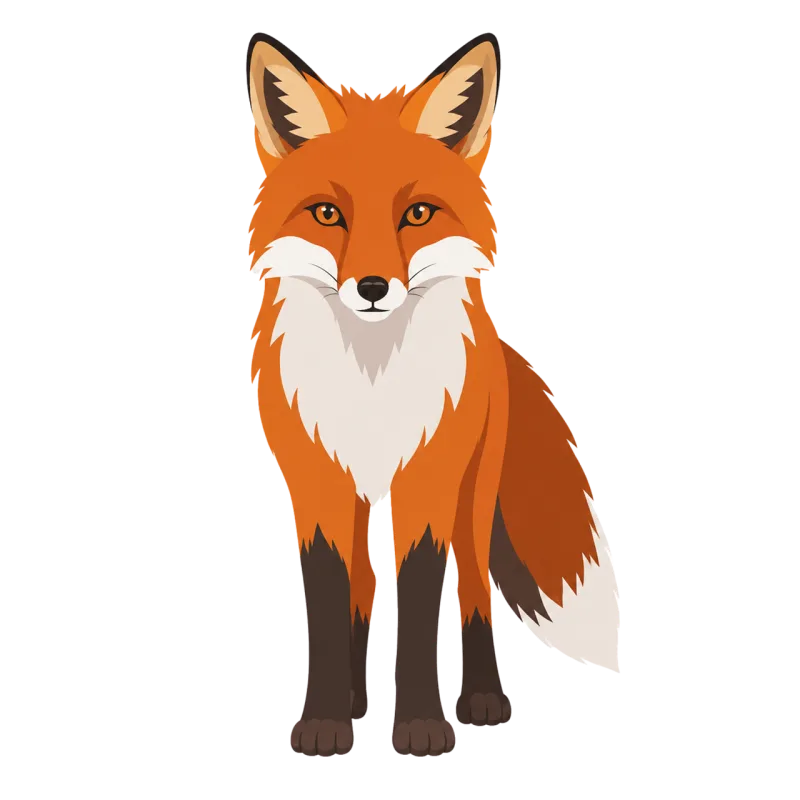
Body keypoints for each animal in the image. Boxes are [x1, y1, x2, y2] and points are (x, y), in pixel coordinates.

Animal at [247, 34, 620, 758]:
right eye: (328, 214)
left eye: (416, 214)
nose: (371, 287)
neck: (370, 387)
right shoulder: (316, 482)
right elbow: (334, 598)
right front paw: (327, 722)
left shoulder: (429, 480)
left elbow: (420, 600)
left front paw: (423, 725)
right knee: (361, 592)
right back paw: (358, 702)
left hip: (473, 499)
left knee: (474, 593)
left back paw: (480, 700)